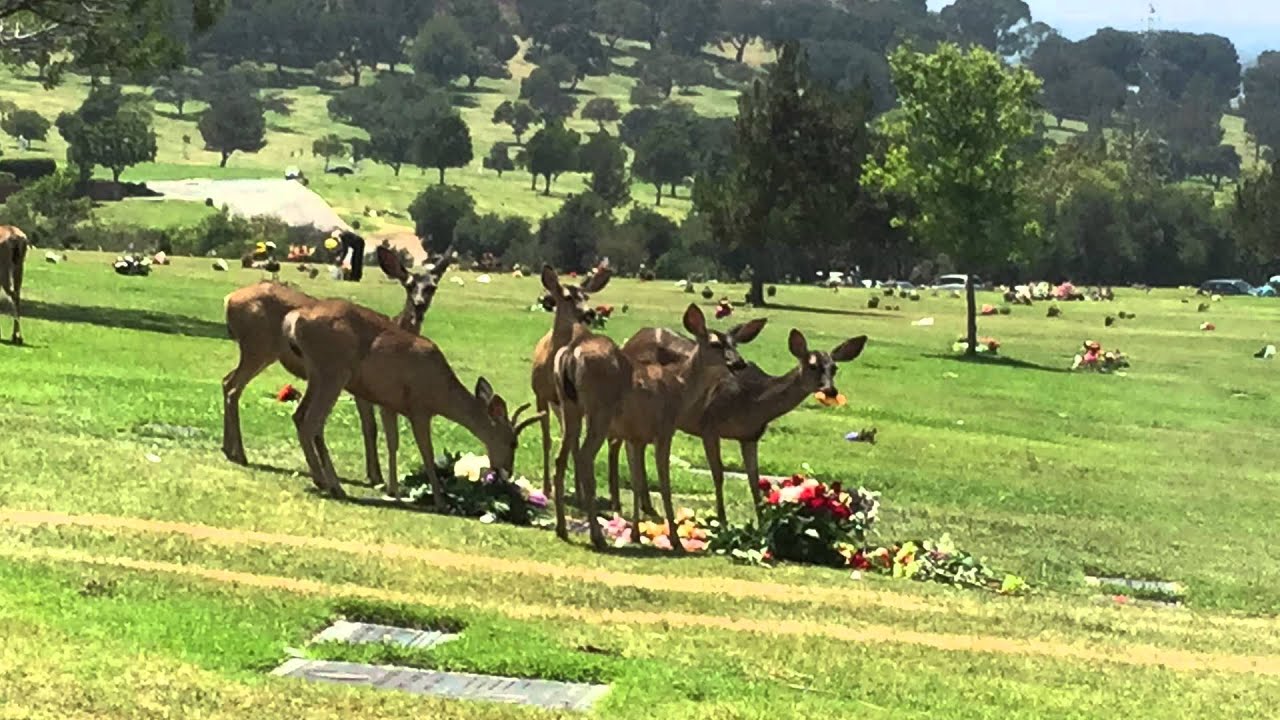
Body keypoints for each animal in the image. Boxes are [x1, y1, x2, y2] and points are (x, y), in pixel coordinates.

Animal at [221, 244, 455, 491]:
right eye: (409, 285)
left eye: (432, 287)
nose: (419, 305)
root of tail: (229, 300)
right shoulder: (362, 390)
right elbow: (370, 427)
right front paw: (375, 476)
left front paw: (374, 475)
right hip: (259, 348)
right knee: (234, 387)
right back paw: (241, 454)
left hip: (259, 352)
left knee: (227, 381)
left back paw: (230, 449)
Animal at [283, 298, 543, 502]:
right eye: (513, 442)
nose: (506, 471)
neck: (441, 393)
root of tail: (293, 320)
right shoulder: (420, 408)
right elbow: (427, 452)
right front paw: (440, 500)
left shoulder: (388, 403)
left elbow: (392, 443)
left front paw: (393, 490)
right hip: (333, 371)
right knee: (312, 422)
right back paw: (331, 485)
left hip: (317, 373)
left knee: (300, 416)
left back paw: (326, 482)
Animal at [530, 261, 611, 498]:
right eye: (566, 297)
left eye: (587, 296)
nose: (589, 313)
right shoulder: (540, 395)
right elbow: (547, 440)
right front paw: (546, 488)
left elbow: (572, 441)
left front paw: (576, 488)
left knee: (574, 439)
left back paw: (578, 487)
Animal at [551, 303, 766, 551]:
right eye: (714, 343)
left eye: (735, 344)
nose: (739, 363)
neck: (681, 388)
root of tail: (571, 352)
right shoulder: (664, 429)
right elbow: (664, 482)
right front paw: (675, 540)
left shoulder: (635, 436)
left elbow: (636, 481)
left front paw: (635, 534)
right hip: (599, 412)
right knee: (585, 457)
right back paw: (597, 537)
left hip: (569, 407)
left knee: (560, 458)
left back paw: (562, 529)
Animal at [605, 327, 867, 525]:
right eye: (812, 366)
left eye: (834, 368)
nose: (830, 390)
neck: (752, 400)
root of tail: (630, 340)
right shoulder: (709, 425)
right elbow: (719, 474)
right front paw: (722, 519)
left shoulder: (750, 436)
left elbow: (754, 480)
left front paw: (763, 522)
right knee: (617, 441)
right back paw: (619, 503)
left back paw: (646, 506)